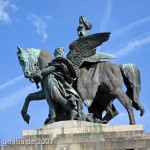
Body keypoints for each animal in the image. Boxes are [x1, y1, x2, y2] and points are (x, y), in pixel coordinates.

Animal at [17, 46, 145, 124]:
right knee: (113, 111)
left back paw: (132, 124)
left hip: (115, 90)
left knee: (127, 103)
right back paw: (96, 120)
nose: (27, 74)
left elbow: (49, 102)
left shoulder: (50, 88)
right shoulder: (44, 92)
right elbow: (29, 97)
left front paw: (53, 118)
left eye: (23, 60)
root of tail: (118, 66)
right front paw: (25, 115)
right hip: (102, 96)